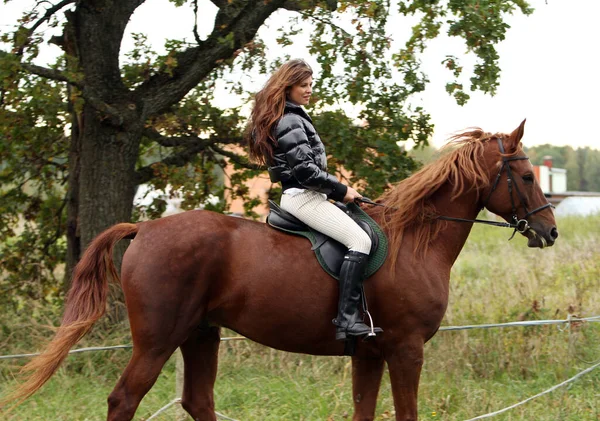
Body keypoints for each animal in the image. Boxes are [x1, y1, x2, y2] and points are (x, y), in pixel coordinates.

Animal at [4, 120, 556, 418]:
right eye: (528, 176)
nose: (549, 232)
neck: (415, 241)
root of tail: (144, 228)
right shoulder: (406, 349)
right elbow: (406, 413)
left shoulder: (370, 354)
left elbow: (364, 411)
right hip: (159, 340)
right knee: (124, 400)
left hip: (200, 335)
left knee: (198, 402)